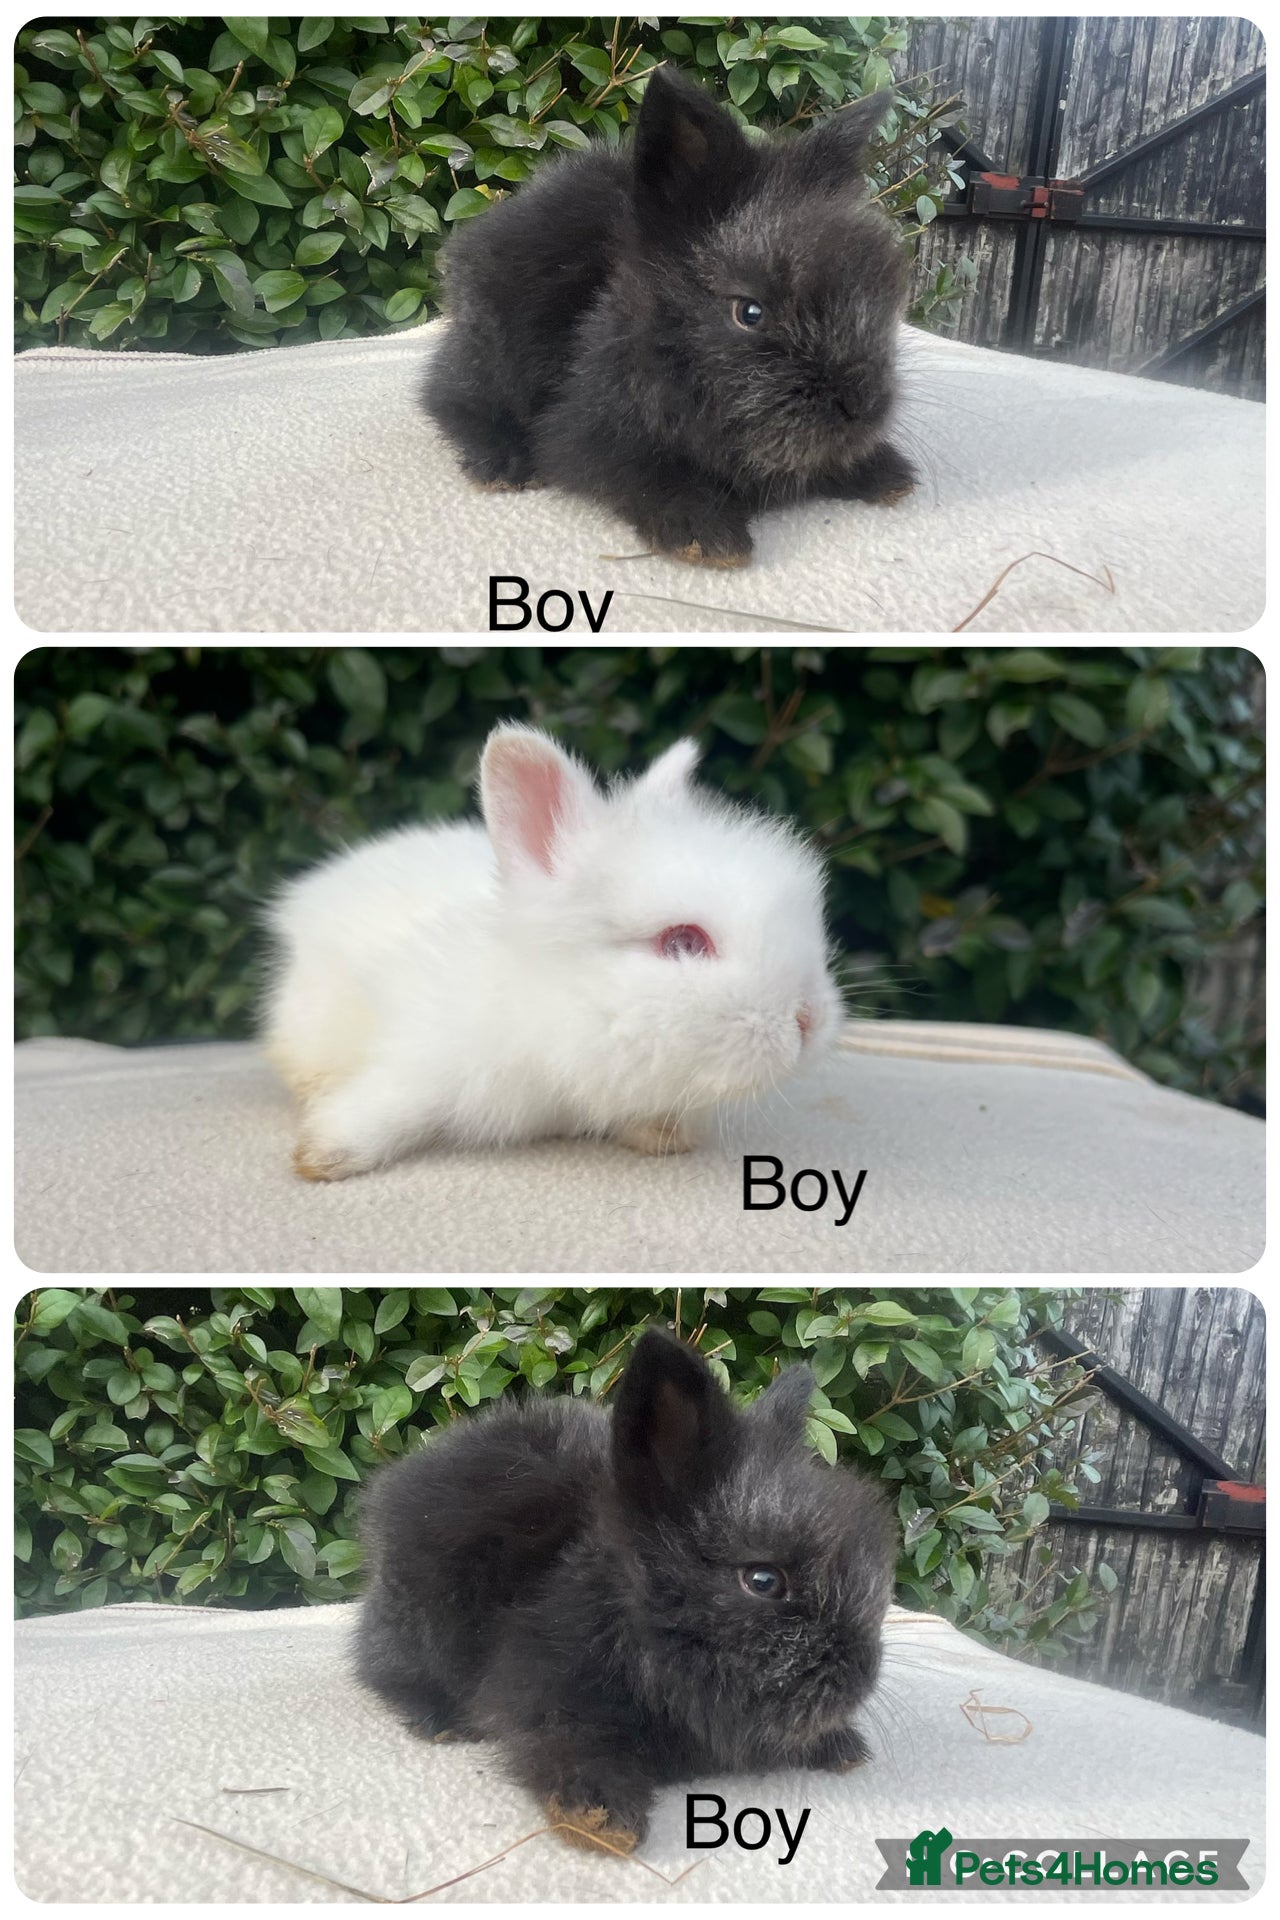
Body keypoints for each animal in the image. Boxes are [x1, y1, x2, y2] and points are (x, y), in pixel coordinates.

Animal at [261, 722, 840, 1182]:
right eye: (683, 942)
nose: (808, 1020)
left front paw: (662, 1137)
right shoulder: (423, 1055)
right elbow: (392, 1103)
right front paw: (324, 1155)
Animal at [354, 1326, 897, 1852]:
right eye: (763, 1580)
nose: (861, 1680)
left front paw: (842, 1746)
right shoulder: (543, 1694)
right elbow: (568, 1744)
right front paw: (601, 1818)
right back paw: (438, 1720)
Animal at [423, 66, 915, 567]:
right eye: (749, 312)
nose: (864, 405)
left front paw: (886, 472)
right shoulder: (584, 436)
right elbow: (643, 474)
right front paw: (707, 534)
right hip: (493, 353)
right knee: (446, 396)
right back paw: (502, 463)